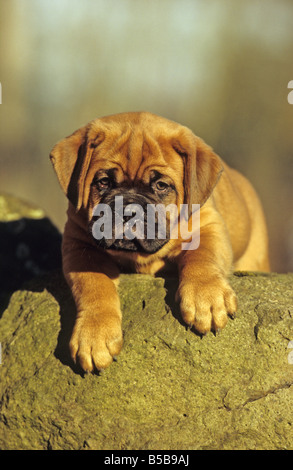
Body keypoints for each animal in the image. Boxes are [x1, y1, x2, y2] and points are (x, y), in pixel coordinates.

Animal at [49, 112, 270, 372]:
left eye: (161, 185)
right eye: (103, 182)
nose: (128, 211)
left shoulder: (207, 225)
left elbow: (202, 257)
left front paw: (206, 298)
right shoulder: (78, 244)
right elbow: (94, 284)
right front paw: (94, 335)